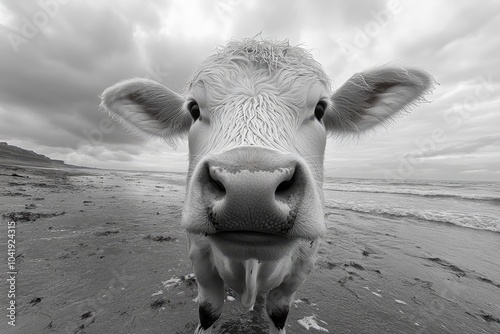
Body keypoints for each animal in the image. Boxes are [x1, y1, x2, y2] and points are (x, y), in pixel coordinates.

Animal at [100, 37, 434, 332]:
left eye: (321, 109)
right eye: (194, 109)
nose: (250, 192)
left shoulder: (302, 267)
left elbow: (279, 312)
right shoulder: (199, 256)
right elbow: (208, 311)